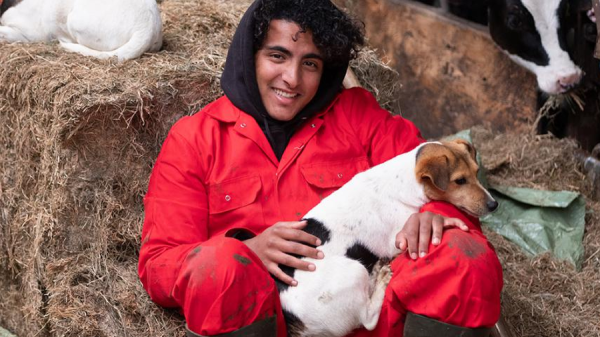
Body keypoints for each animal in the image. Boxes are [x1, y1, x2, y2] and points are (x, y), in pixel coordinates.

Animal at [276, 138, 496, 336]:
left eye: (477, 171)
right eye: (460, 181)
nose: (494, 204)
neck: (407, 180)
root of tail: (296, 323)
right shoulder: (395, 240)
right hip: (353, 271)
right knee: (367, 321)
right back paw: (381, 279)